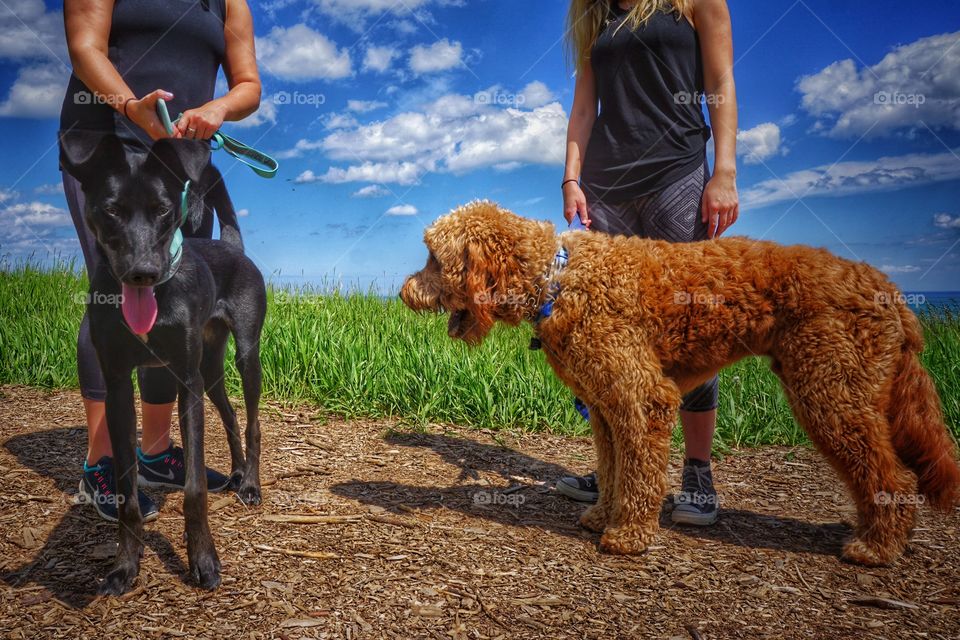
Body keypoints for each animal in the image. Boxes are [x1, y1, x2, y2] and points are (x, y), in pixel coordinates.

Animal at [58, 132, 268, 596]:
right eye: (111, 209)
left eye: (163, 209)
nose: (143, 273)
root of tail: (230, 246)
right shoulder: (118, 386)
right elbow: (126, 492)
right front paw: (125, 566)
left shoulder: (185, 381)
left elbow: (193, 489)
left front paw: (204, 561)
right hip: (210, 372)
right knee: (229, 417)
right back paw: (236, 473)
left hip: (244, 356)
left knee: (251, 422)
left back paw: (250, 484)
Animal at [400, 200, 960, 564]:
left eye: (433, 258)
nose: (404, 293)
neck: (558, 279)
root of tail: (887, 288)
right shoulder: (605, 406)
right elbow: (615, 467)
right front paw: (603, 515)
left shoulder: (641, 398)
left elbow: (641, 474)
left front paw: (628, 535)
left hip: (829, 392)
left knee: (894, 478)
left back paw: (877, 547)